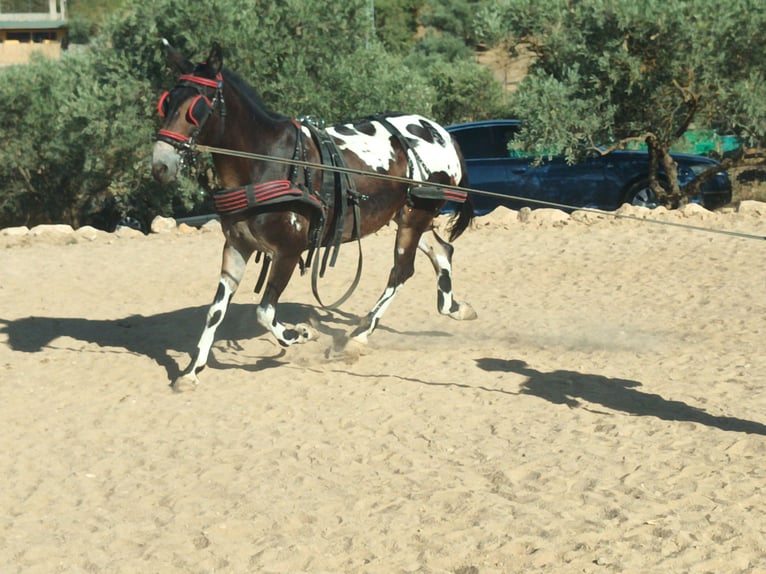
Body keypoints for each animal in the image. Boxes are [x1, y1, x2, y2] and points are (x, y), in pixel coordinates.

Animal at [151, 41, 476, 392]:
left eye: (197, 107)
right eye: (167, 103)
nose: (160, 165)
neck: (267, 161)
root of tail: (442, 133)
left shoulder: (288, 251)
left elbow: (265, 312)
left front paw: (300, 333)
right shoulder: (237, 246)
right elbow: (216, 311)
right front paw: (192, 371)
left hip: (415, 218)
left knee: (401, 271)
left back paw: (360, 333)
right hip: (408, 216)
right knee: (442, 251)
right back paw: (454, 307)